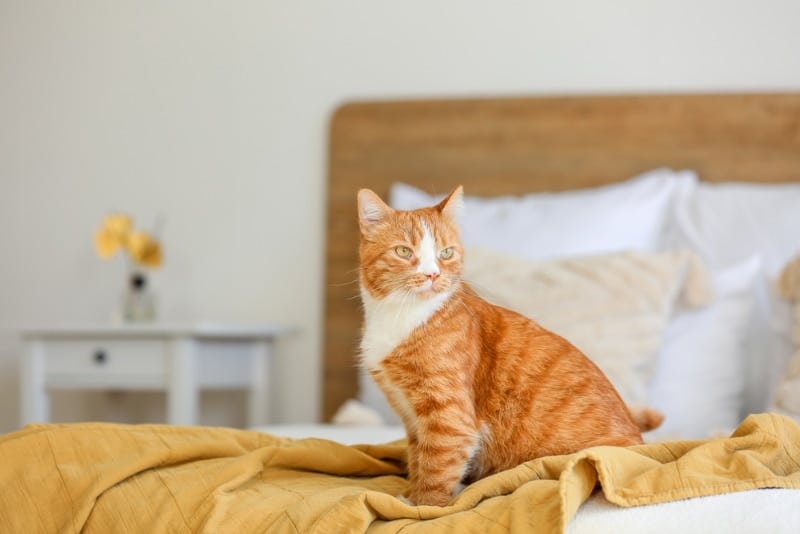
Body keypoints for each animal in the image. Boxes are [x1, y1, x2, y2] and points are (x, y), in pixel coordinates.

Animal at [356, 186, 664, 508]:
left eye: (446, 253)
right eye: (404, 251)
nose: (432, 275)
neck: (401, 315)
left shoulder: (448, 418)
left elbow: (436, 471)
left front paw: (421, 507)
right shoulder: (412, 419)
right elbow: (418, 461)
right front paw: (410, 496)